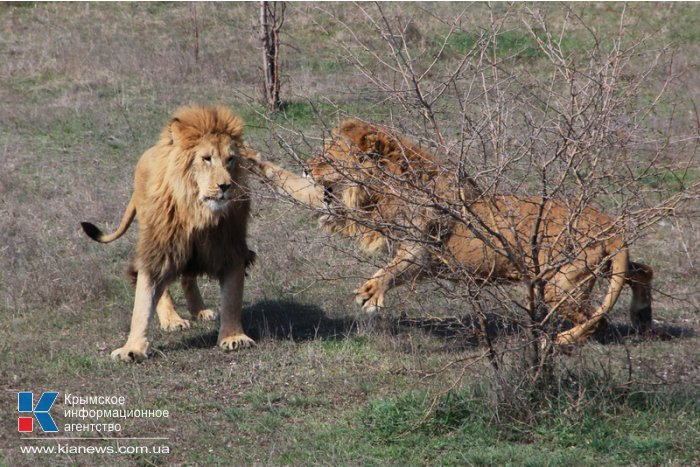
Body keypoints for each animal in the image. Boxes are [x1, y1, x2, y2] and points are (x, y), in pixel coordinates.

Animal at [82, 106, 258, 362]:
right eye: (206, 158)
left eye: (230, 159)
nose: (226, 186)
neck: (198, 212)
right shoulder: (158, 247)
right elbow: (142, 303)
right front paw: (132, 348)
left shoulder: (230, 248)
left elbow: (232, 298)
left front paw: (234, 337)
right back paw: (172, 320)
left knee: (188, 277)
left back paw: (199, 310)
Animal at [249, 119, 652, 346]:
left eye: (330, 156)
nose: (306, 166)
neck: (382, 187)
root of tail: (612, 228)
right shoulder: (344, 208)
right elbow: (297, 189)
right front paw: (250, 159)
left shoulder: (422, 247)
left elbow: (394, 268)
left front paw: (371, 293)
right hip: (599, 267)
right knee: (642, 270)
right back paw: (643, 317)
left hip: (559, 283)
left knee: (595, 318)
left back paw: (568, 340)